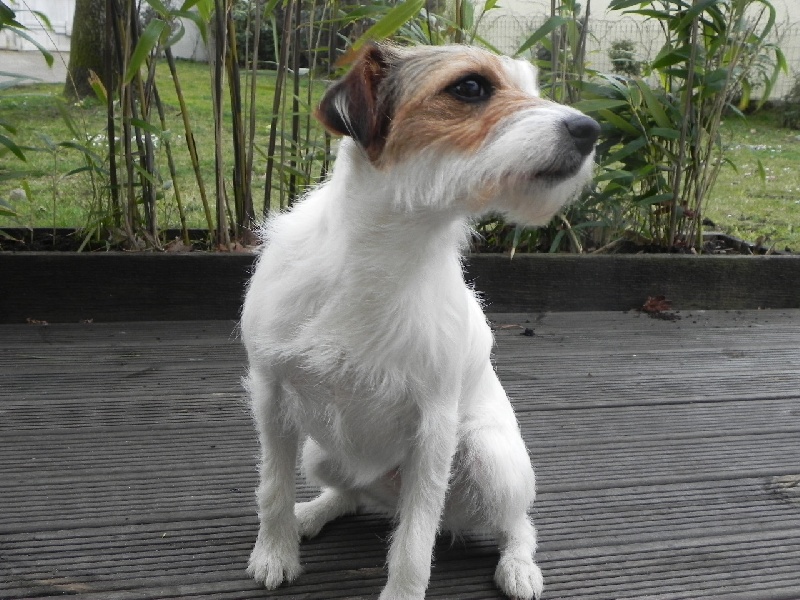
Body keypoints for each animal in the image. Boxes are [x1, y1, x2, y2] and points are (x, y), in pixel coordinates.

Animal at [241, 43, 596, 600]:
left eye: (532, 87)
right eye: (470, 87)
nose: (591, 130)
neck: (384, 253)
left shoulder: (433, 431)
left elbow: (414, 542)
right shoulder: (270, 394)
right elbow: (272, 488)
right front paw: (275, 553)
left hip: (490, 459)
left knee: (515, 524)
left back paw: (519, 566)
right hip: (321, 453)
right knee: (351, 494)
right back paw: (312, 513)